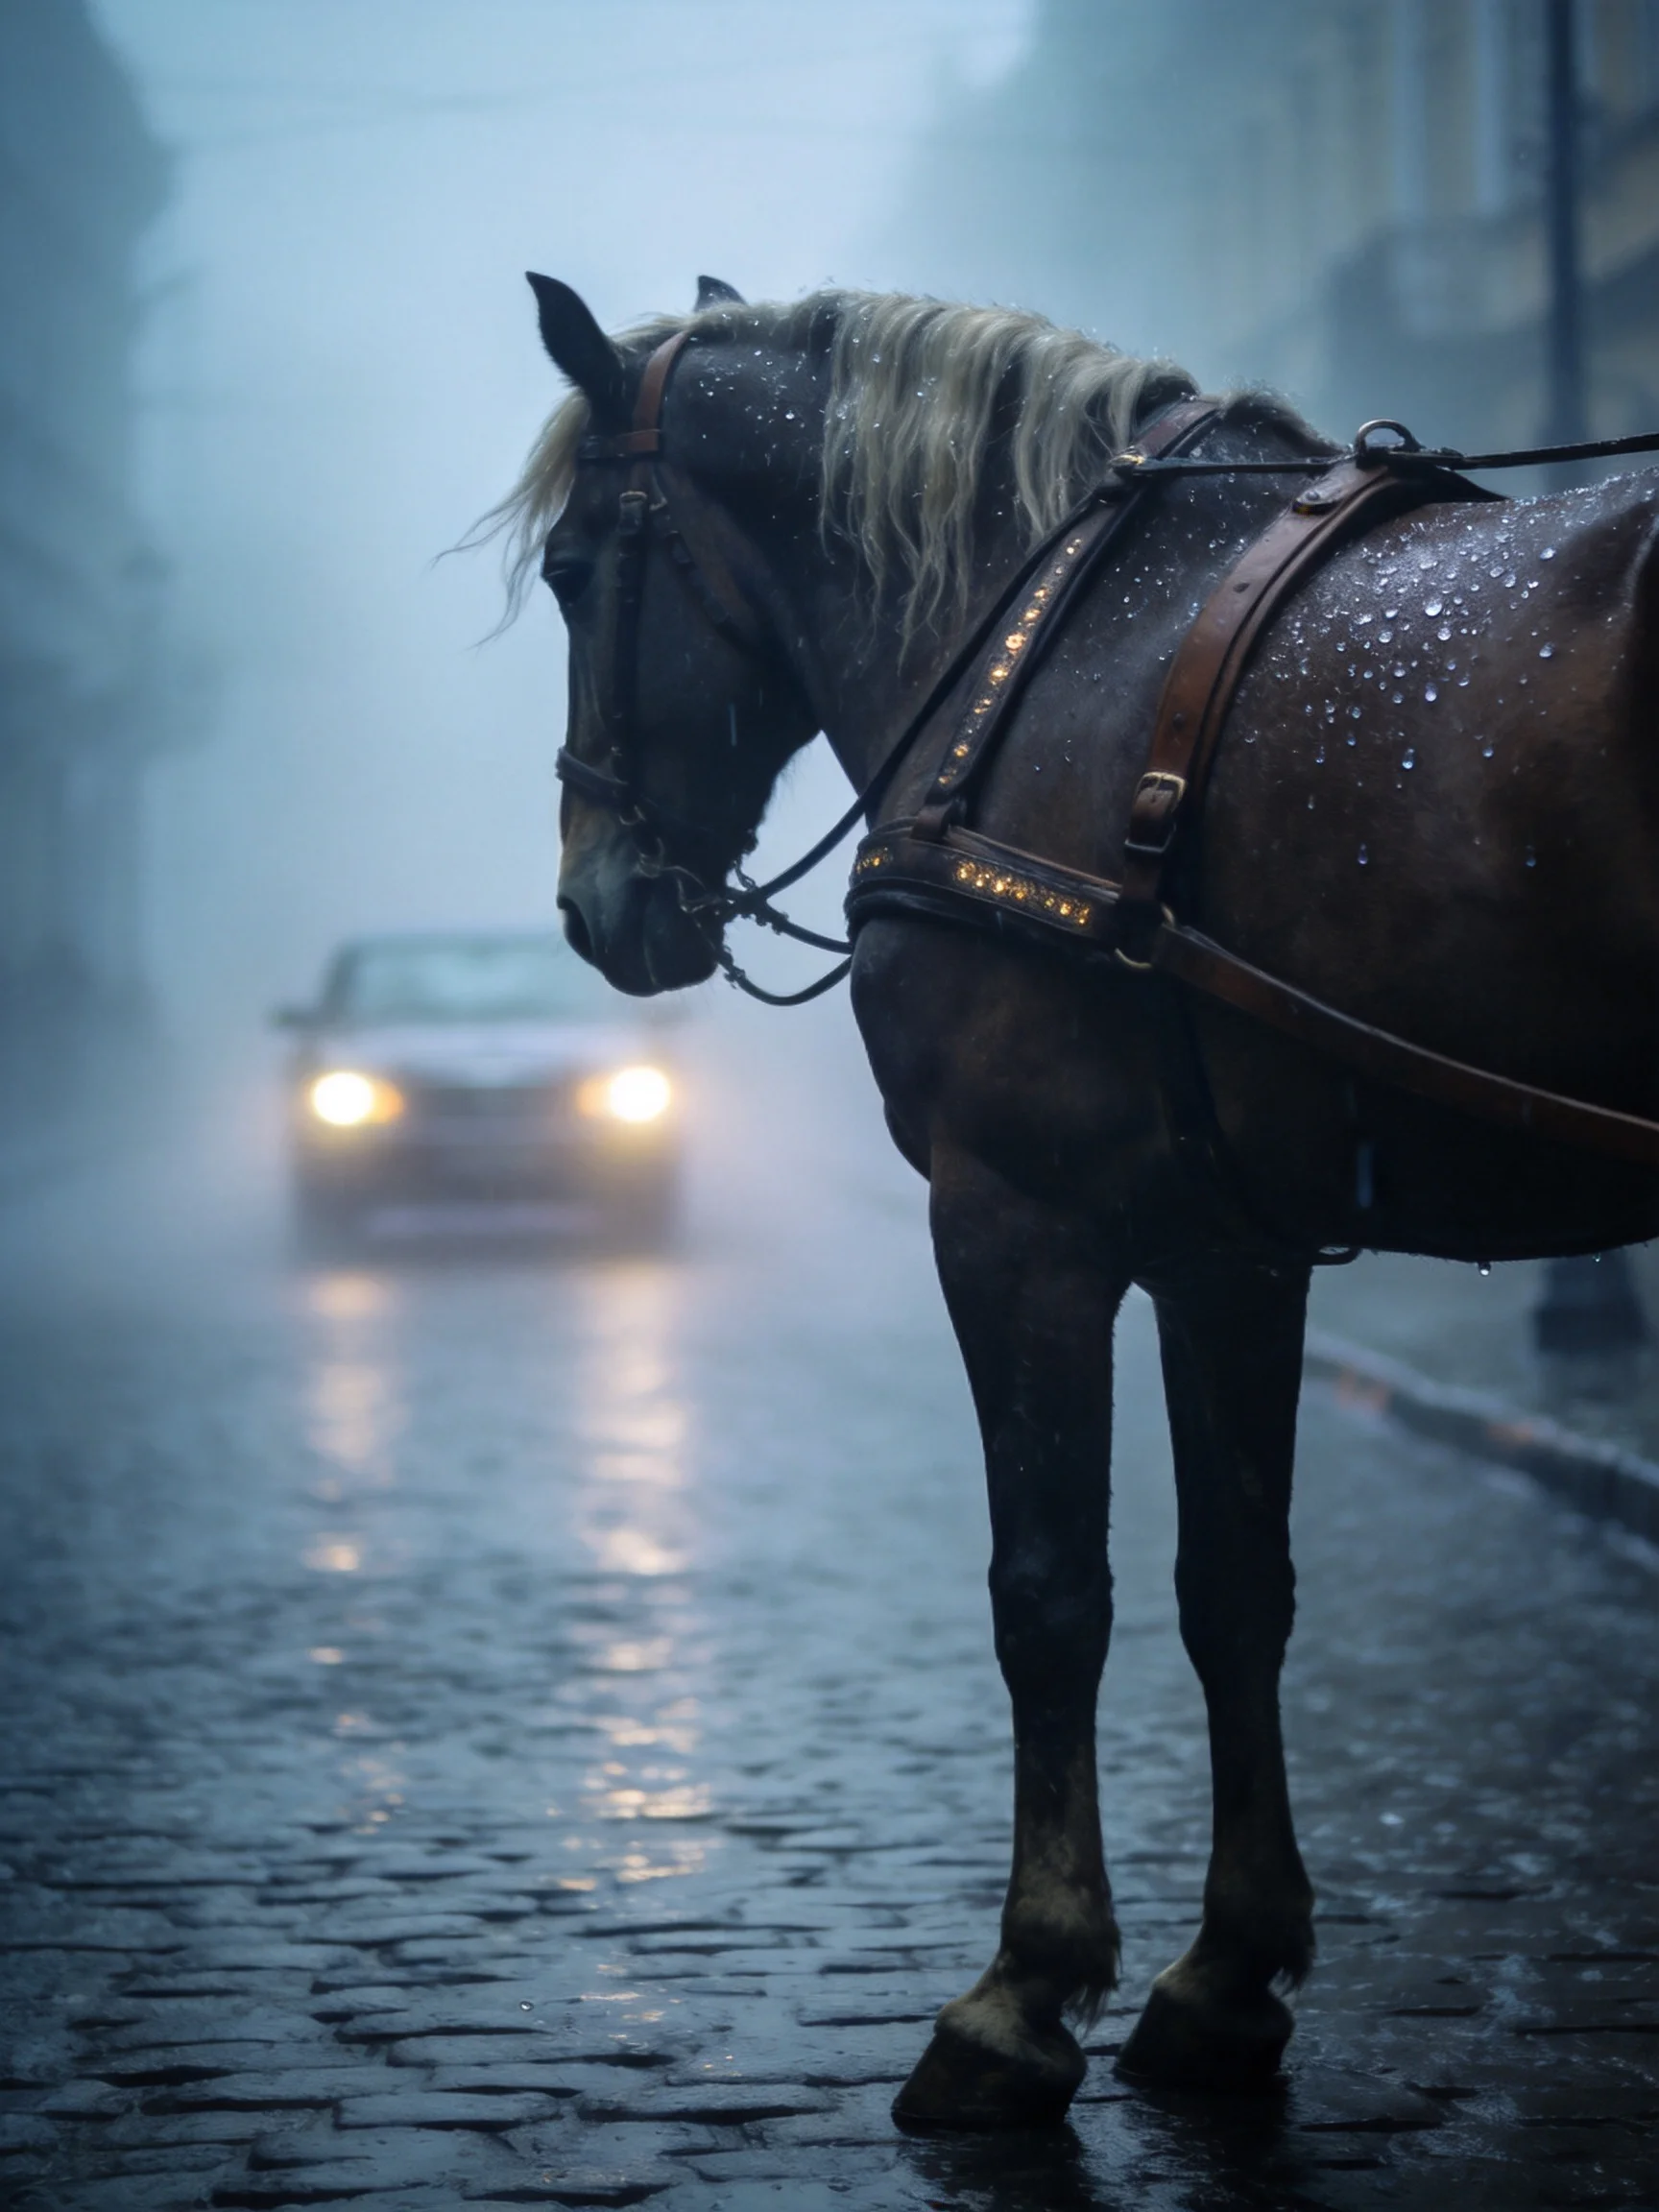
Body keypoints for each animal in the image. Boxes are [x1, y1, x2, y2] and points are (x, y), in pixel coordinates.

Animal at [481, 273, 1659, 2130]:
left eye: (578, 570)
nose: (596, 904)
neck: (1053, 646)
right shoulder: (1226, 1246)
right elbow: (1234, 1586)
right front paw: (1224, 1975)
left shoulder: (1014, 1225)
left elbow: (1048, 1593)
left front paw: (1021, 1992)